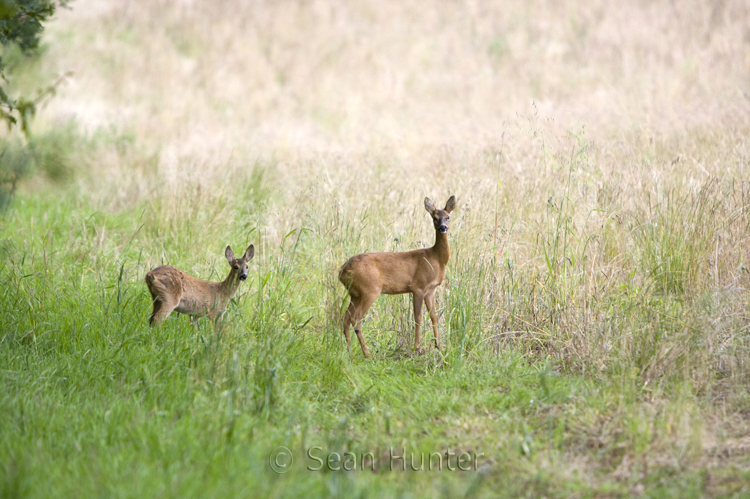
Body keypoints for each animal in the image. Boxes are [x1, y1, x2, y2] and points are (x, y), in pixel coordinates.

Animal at [338, 195, 456, 357]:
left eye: (448, 216)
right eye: (434, 218)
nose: (443, 227)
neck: (436, 259)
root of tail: (342, 270)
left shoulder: (431, 290)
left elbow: (433, 316)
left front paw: (438, 346)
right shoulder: (418, 287)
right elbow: (418, 318)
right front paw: (417, 348)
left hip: (355, 294)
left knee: (346, 318)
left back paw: (350, 352)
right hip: (370, 290)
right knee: (356, 318)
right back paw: (367, 353)